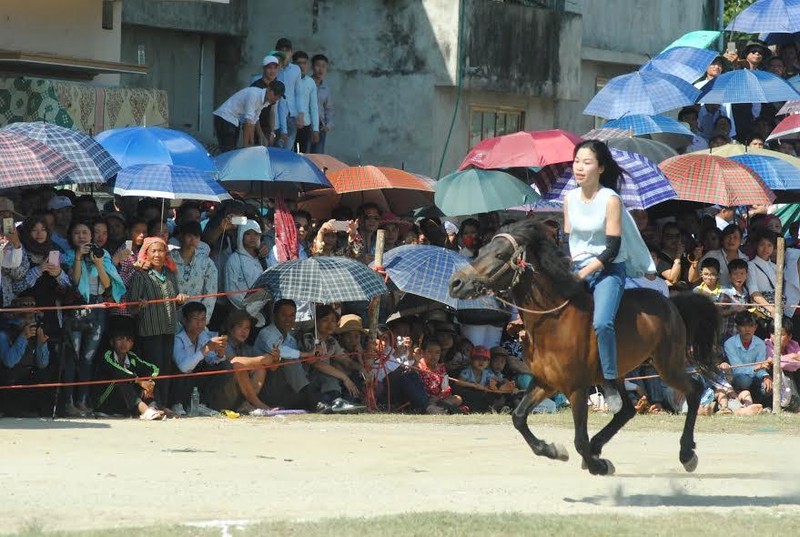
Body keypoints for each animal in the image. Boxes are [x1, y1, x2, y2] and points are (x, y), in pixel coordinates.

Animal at [450, 220, 720, 476]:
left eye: (499, 255)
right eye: (481, 250)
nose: (456, 283)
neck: (554, 321)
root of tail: (671, 303)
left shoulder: (576, 388)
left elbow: (579, 439)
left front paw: (596, 465)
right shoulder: (545, 382)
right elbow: (518, 418)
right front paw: (553, 450)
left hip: (667, 365)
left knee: (694, 390)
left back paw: (686, 454)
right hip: (619, 373)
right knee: (627, 410)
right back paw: (598, 446)